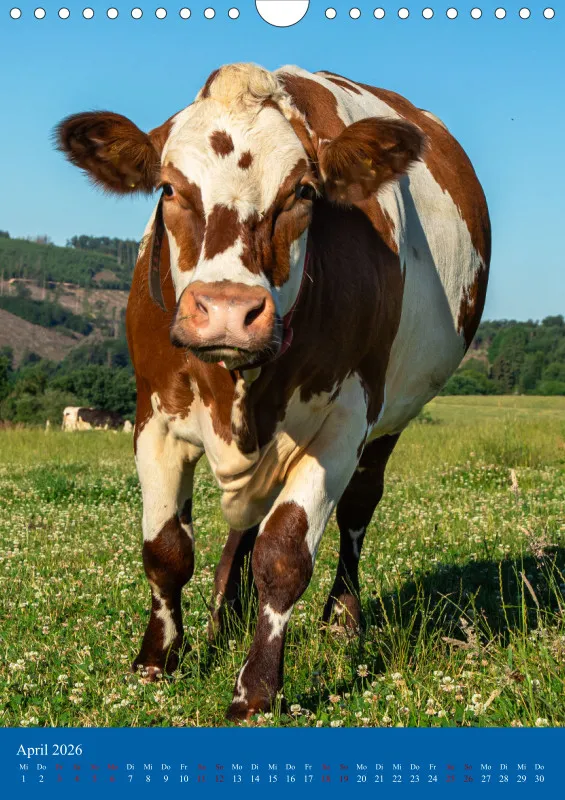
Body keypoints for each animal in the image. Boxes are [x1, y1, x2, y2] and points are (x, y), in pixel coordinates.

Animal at [57, 63, 490, 720]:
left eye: (304, 192)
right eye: (168, 189)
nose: (228, 313)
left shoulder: (345, 420)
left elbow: (284, 555)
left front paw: (256, 690)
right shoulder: (152, 415)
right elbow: (165, 548)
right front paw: (157, 660)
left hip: (391, 421)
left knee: (356, 509)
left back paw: (341, 619)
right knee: (243, 524)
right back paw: (223, 613)